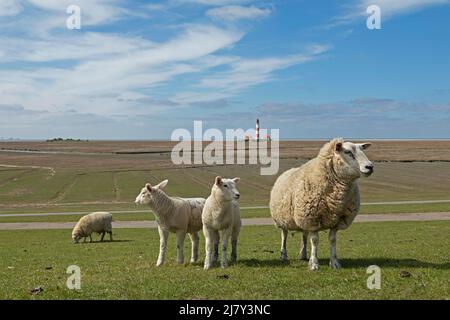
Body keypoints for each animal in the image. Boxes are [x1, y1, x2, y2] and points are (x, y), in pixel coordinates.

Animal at [270, 138, 372, 270]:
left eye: (362, 150)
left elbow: (332, 240)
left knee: (304, 235)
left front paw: (334, 262)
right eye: (348, 152)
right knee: (284, 235)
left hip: (302, 216)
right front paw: (314, 264)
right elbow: (314, 240)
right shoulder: (312, 218)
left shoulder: (336, 220)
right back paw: (283, 255)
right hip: (283, 218)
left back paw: (303, 255)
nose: (370, 166)